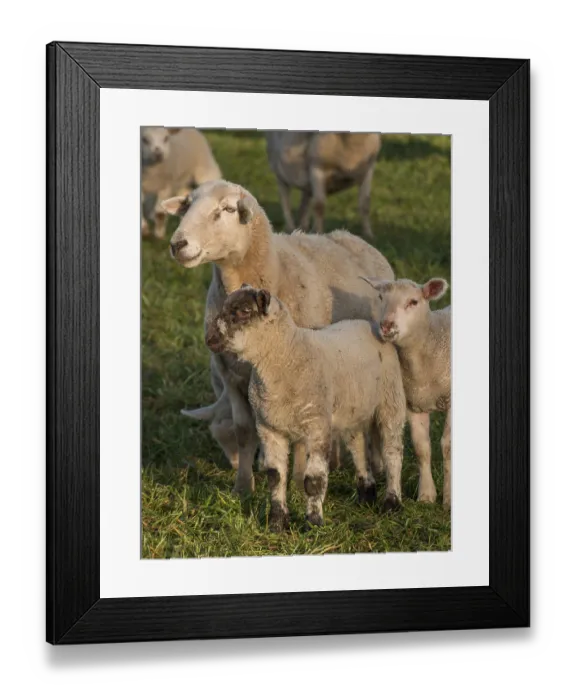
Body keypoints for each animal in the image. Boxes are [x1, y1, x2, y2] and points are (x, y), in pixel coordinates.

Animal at [162, 180, 395, 495]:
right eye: (186, 205)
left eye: (226, 209)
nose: (177, 244)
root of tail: (354, 238)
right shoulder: (232, 376)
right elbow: (244, 431)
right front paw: (243, 487)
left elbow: (299, 436)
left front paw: (296, 482)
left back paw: (377, 465)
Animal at [205, 286, 407, 530]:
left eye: (244, 311)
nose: (210, 338)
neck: (287, 356)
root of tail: (369, 324)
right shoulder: (269, 427)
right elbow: (275, 476)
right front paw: (277, 522)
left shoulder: (317, 425)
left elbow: (313, 481)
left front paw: (313, 522)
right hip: (351, 410)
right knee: (358, 446)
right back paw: (366, 494)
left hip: (391, 399)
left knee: (392, 451)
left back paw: (392, 502)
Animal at [361, 276, 451, 509]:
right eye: (381, 297)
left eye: (413, 302)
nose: (386, 325)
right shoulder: (414, 403)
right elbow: (422, 448)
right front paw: (426, 496)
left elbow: (447, 447)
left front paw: (448, 500)